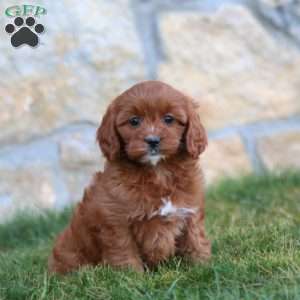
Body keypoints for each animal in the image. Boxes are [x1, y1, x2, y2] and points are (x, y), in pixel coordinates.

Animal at [48, 81, 210, 274]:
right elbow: (124, 251)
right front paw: (132, 276)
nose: (152, 140)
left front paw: (203, 266)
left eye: (169, 119)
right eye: (134, 121)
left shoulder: (190, 210)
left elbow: (195, 240)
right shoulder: (116, 222)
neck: (158, 170)